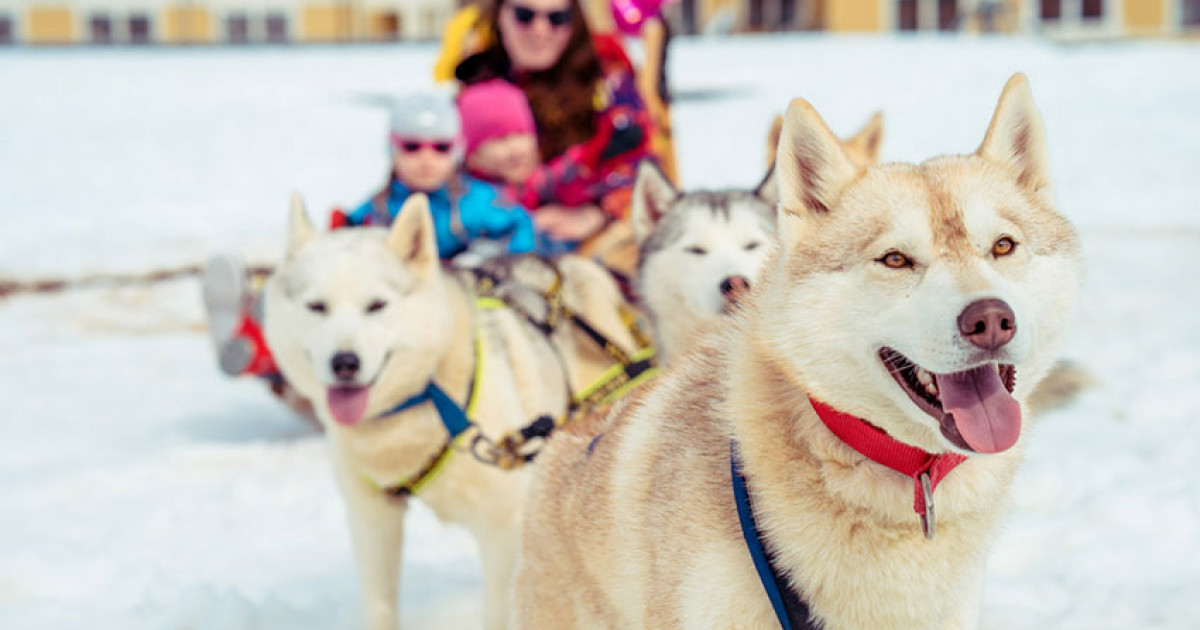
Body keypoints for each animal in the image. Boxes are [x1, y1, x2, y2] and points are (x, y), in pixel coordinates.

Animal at [260, 194, 638, 624]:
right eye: (317, 307)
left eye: (376, 305)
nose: (344, 363)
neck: (431, 399)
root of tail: (570, 263)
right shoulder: (372, 519)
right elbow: (380, 608)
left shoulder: (503, 528)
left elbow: (499, 614)